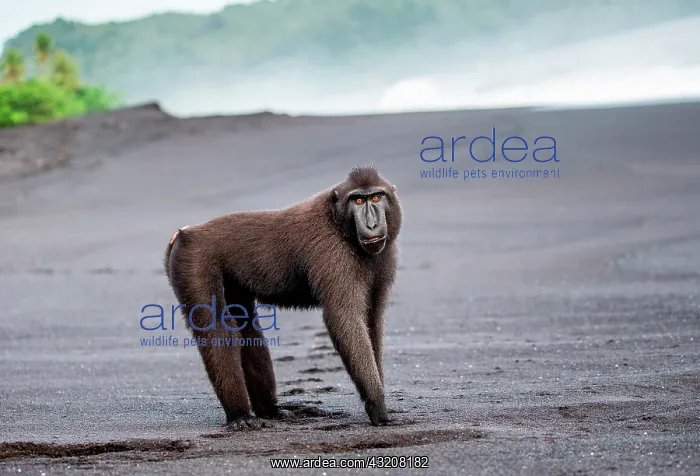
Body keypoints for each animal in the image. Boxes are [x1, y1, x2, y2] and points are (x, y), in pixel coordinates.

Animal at [163, 165, 402, 428]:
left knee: (247, 328)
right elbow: (345, 319)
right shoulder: (332, 253)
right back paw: (240, 415)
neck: (338, 222)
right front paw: (378, 406)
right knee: (216, 330)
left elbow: (372, 320)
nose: (371, 224)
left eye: (376, 197)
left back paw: (269, 410)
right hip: (193, 259)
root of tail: (187, 232)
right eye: (358, 200)